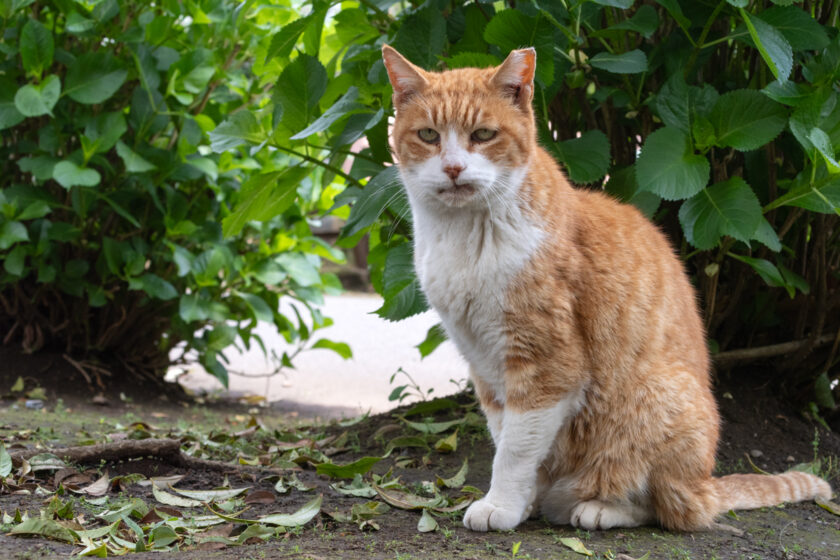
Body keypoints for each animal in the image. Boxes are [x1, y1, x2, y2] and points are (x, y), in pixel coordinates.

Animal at [382, 46, 832, 532]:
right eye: (428, 135)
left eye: (483, 135)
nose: (453, 168)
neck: (463, 236)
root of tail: (707, 483)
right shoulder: (485, 365)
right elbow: (508, 438)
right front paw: (522, 503)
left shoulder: (547, 363)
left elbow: (515, 450)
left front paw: (501, 505)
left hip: (658, 407)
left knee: (672, 508)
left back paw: (598, 508)